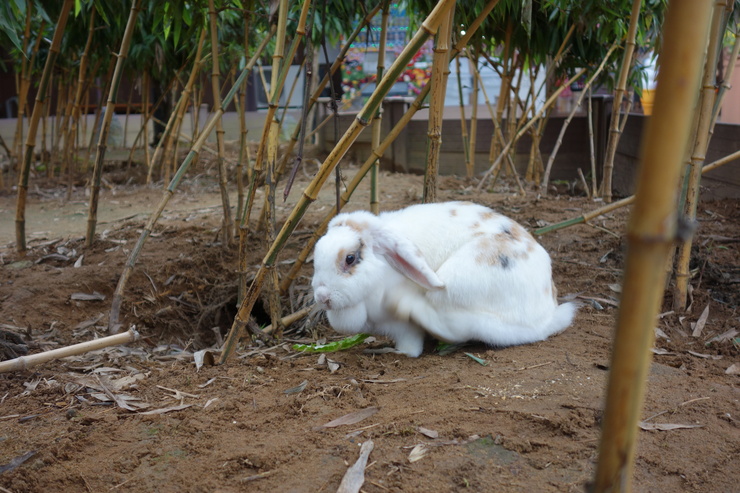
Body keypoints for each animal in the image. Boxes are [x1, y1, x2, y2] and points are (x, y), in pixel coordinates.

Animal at [310, 201, 576, 358]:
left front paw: (392, 352)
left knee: (451, 327)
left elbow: (411, 349)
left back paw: (403, 303)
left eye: (350, 258)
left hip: (458, 283)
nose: (322, 296)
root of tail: (547, 313)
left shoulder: (405, 329)